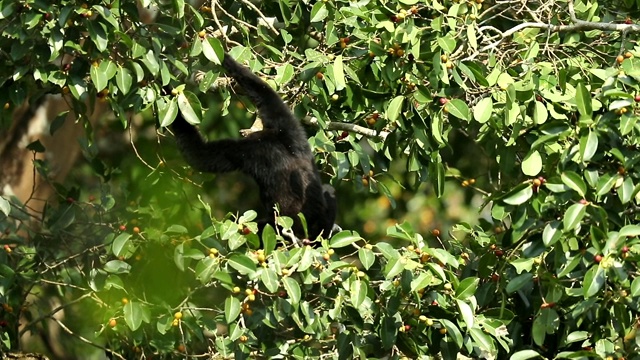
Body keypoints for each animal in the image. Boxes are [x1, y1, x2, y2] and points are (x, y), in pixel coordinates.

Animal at [172, 53, 338, 240]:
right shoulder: (289, 129)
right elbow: (265, 93)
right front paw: (226, 59)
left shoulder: (246, 152)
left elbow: (199, 154)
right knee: (329, 190)